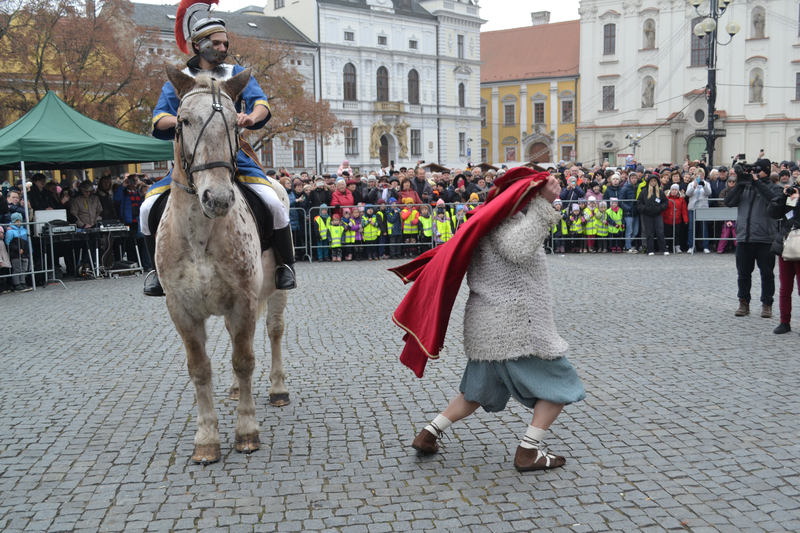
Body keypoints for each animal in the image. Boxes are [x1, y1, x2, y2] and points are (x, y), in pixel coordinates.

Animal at [156, 64, 290, 464]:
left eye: (235, 123)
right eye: (183, 120)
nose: (216, 198)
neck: (200, 236)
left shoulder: (244, 301)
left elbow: (244, 359)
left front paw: (246, 431)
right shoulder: (181, 309)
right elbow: (200, 369)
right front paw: (206, 439)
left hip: (276, 293)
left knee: (274, 332)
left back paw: (278, 389)